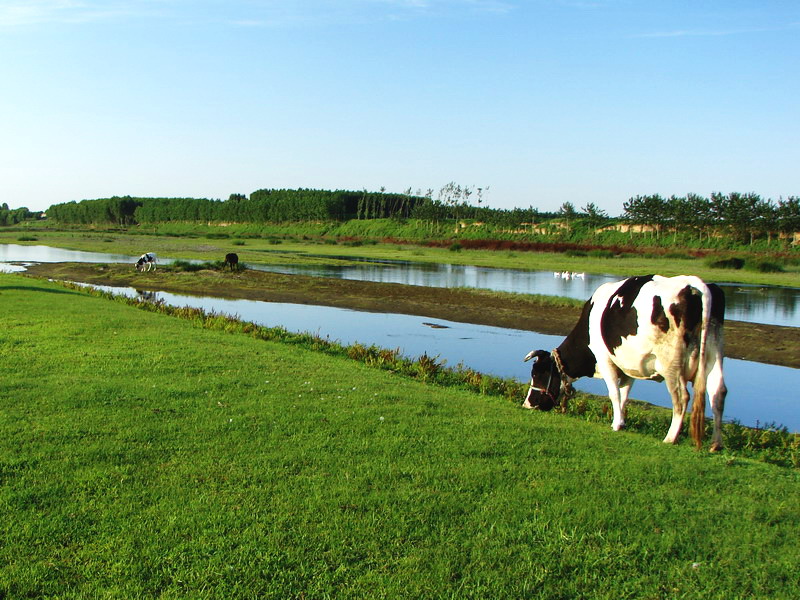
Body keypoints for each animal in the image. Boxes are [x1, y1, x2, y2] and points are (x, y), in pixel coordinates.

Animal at [520, 276, 728, 450]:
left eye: (537, 373)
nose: (527, 404)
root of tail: (695, 284)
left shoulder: (604, 359)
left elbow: (614, 393)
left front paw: (615, 424)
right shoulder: (629, 366)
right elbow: (625, 393)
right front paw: (621, 421)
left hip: (670, 362)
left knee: (681, 397)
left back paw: (670, 438)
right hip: (714, 353)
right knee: (718, 392)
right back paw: (716, 444)